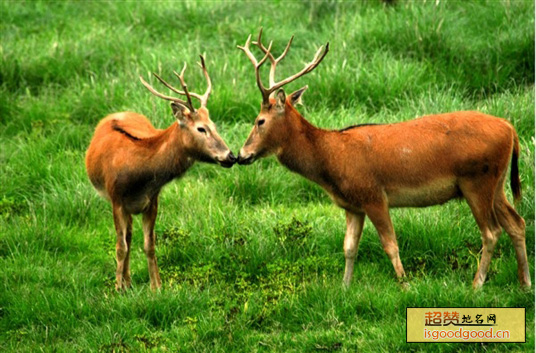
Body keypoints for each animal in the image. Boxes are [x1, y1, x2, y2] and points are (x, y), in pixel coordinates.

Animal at [85, 56, 236, 290]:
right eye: (201, 128)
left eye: (214, 125)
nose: (230, 156)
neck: (138, 175)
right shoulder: (116, 198)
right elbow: (120, 247)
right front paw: (117, 289)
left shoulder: (152, 200)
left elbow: (149, 245)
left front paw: (157, 287)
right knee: (126, 239)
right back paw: (125, 283)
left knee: (131, 235)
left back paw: (129, 281)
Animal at [236, 28, 532, 288]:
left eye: (260, 121)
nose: (241, 155)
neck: (331, 160)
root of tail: (510, 129)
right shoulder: (352, 205)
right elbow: (349, 247)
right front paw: (344, 289)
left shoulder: (374, 195)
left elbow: (390, 245)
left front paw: (405, 286)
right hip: (496, 182)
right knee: (517, 223)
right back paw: (524, 283)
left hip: (476, 180)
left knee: (491, 232)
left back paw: (477, 285)